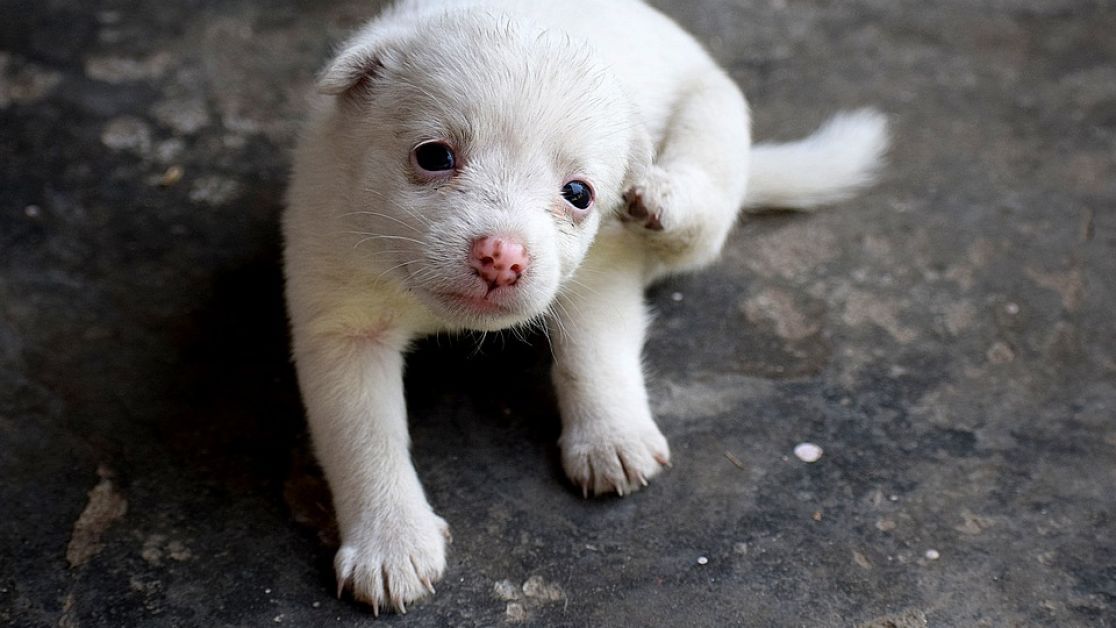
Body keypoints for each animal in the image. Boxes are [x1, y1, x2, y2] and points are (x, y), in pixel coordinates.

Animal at [285, 0, 888, 615]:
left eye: (578, 194)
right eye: (433, 156)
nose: (502, 257)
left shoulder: (602, 274)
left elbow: (592, 355)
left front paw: (610, 439)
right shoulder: (341, 329)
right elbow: (366, 438)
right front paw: (392, 542)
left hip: (712, 116)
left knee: (704, 199)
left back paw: (665, 197)